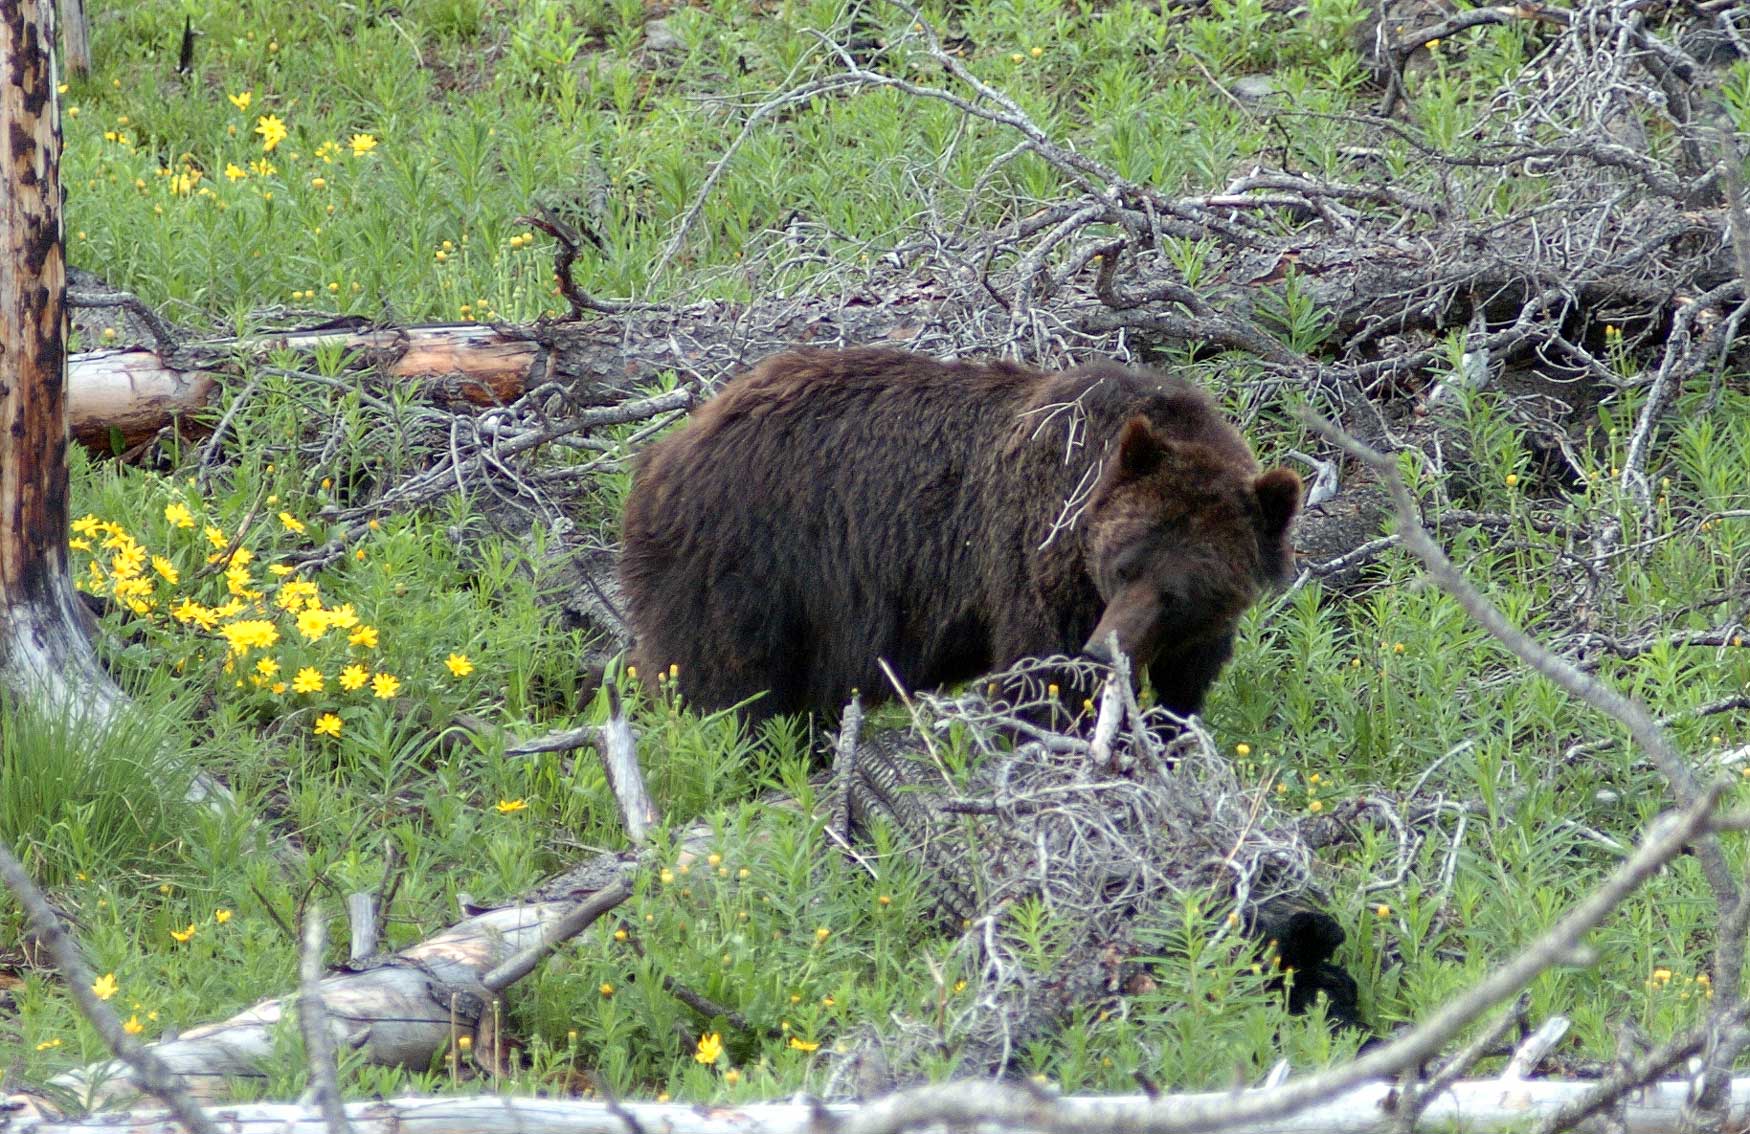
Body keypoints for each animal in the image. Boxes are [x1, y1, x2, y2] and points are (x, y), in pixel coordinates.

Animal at [616, 344, 1302, 731]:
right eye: (1122, 564)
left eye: (1183, 590)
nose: (1105, 652)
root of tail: (664, 451)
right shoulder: (1036, 552)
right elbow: (1039, 682)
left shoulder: (1195, 633)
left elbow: (1184, 692)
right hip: (748, 566)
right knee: (729, 687)